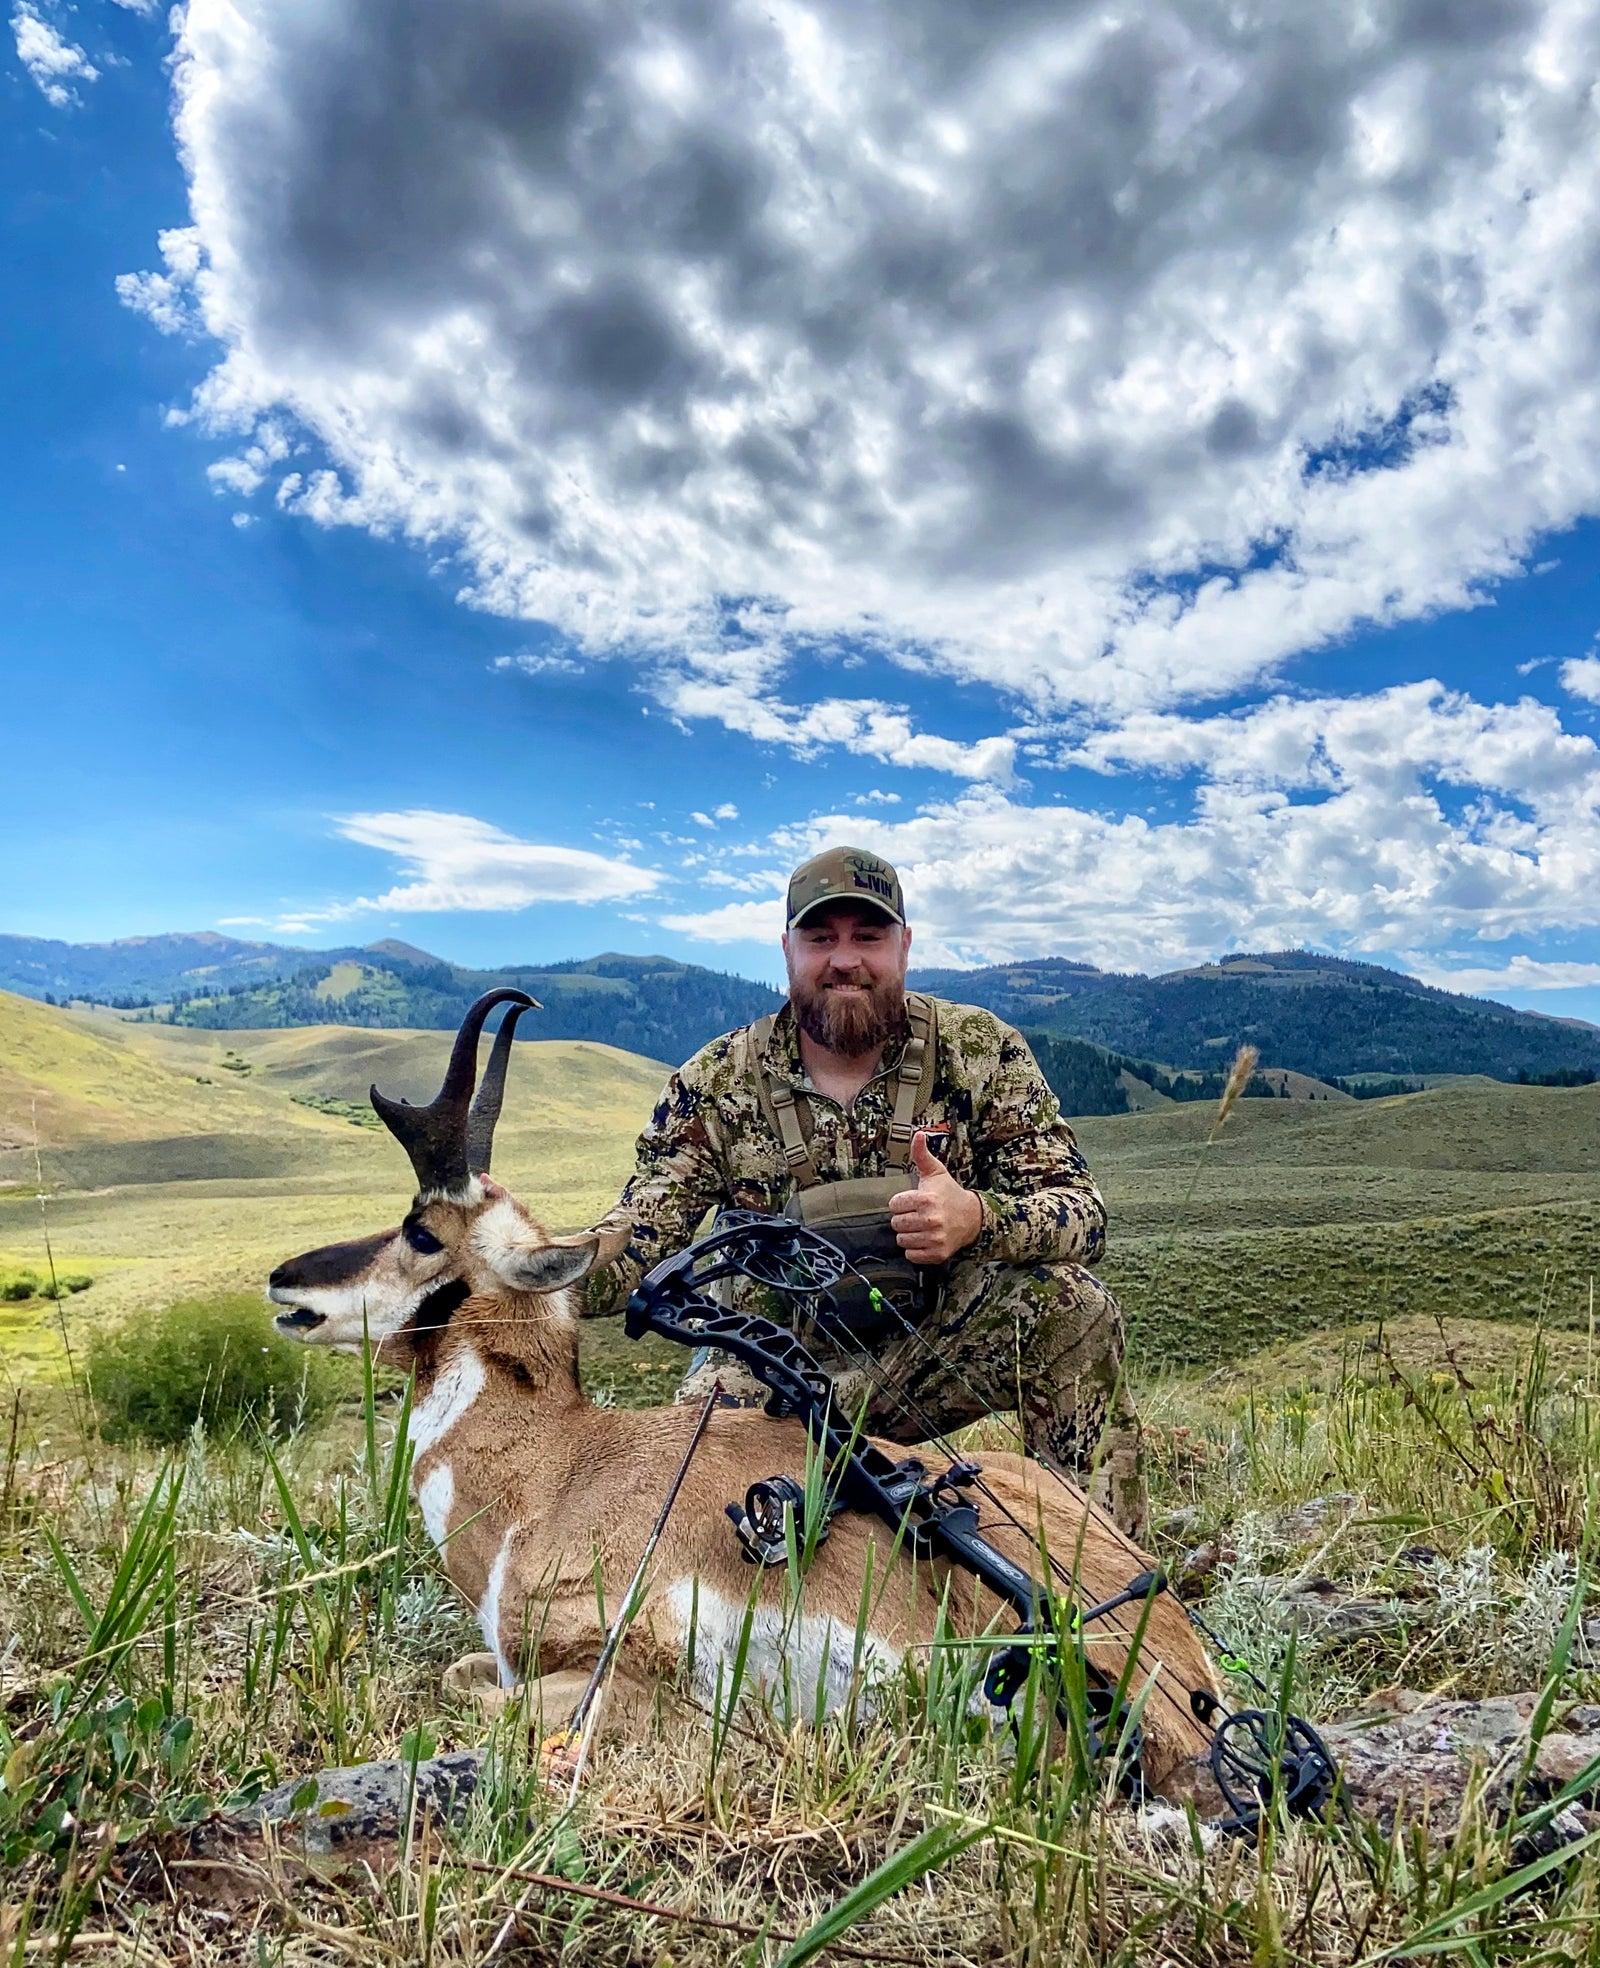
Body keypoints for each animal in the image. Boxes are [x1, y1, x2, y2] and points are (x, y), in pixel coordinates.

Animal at [267, 990, 1220, 1792]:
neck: (554, 1473)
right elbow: (464, 1670)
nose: (283, 1278)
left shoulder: (622, 1674)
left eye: (421, 1231)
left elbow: (480, 1699)